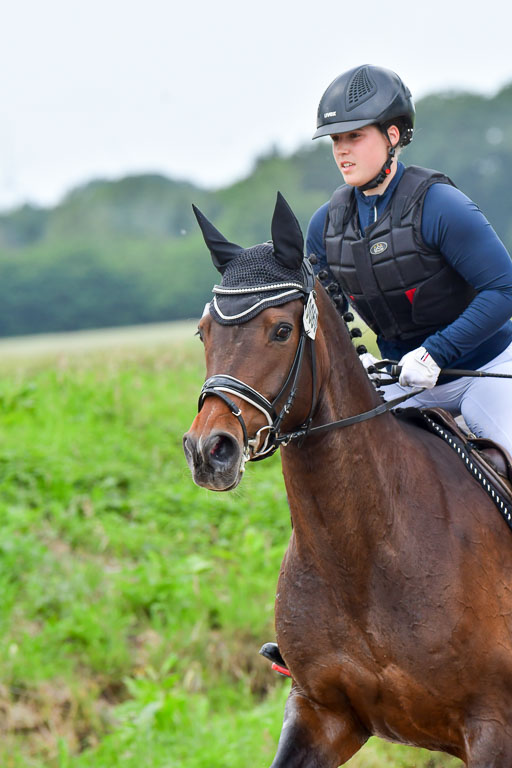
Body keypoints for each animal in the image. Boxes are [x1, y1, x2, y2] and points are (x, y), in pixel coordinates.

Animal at [183, 193, 512, 767]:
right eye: (205, 332)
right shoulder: (322, 714)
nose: (208, 451)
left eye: (282, 330)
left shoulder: (494, 728)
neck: (364, 553)